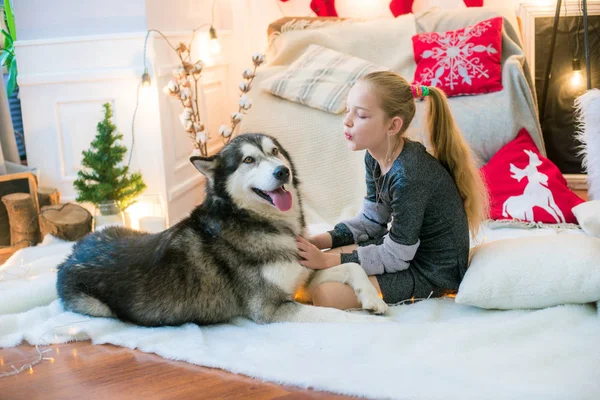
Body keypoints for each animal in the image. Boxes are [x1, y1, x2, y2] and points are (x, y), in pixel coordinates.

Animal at [56, 133, 386, 326]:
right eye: (249, 160)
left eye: (275, 152)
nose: (282, 172)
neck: (260, 222)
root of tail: (69, 255)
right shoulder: (269, 308)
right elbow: (334, 314)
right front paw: (368, 323)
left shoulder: (303, 276)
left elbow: (352, 267)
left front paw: (373, 300)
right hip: (98, 308)